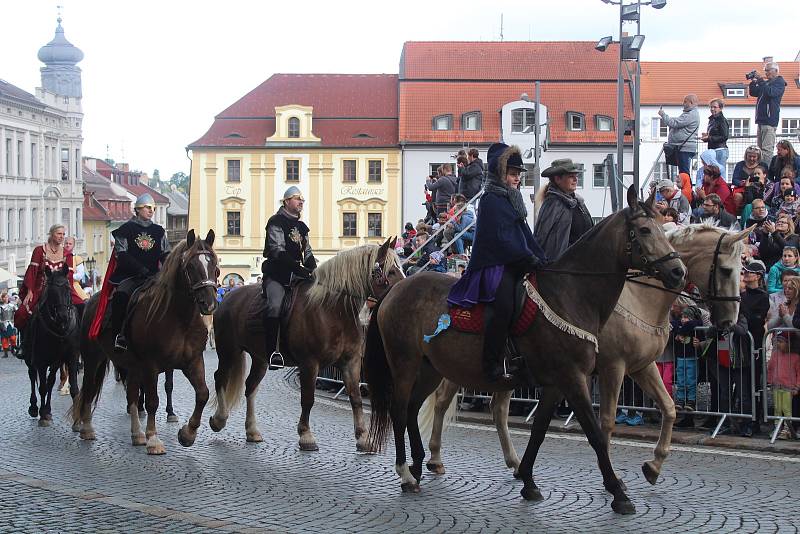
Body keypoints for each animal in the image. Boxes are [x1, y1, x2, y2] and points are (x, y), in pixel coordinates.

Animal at [24, 266, 80, 430]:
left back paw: (48, 410)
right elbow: (41, 387)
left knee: (50, 380)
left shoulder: (71, 357)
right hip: (31, 359)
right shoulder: (41, 361)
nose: (63, 316)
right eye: (51, 291)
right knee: (32, 376)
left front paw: (77, 421)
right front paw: (42, 415)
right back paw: (35, 408)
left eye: (68, 288)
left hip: (56, 362)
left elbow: (74, 388)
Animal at [69, 230, 216, 456]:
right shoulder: (151, 365)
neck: (179, 319)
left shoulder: (193, 362)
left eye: (214, 263)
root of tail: (91, 301)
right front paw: (154, 439)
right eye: (191, 266)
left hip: (132, 366)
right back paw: (87, 428)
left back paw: (137, 434)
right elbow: (153, 401)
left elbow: (202, 394)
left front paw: (187, 434)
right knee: (89, 388)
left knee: (131, 395)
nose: (208, 304)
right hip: (93, 359)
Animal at [209, 239, 404, 452]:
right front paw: (306, 435)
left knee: (250, 387)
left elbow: (356, 398)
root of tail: (227, 297)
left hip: (260, 358)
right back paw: (219, 419)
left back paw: (252, 431)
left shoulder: (351, 362)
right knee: (220, 377)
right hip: (228, 350)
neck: (332, 310)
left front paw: (362, 437)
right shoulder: (310, 363)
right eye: (390, 271)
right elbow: (308, 398)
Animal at [366, 187, 684, 516]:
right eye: (645, 230)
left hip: (431, 368)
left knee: (415, 408)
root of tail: (394, 291)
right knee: (400, 409)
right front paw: (618, 492)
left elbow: (540, 430)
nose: (678, 271)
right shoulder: (576, 377)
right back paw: (405, 472)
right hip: (405, 363)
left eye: (663, 228)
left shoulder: (558, 384)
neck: (569, 294)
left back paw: (417, 465)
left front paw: (528, 481)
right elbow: (595, 432)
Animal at [424, 221, 752, 486]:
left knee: (498, 409)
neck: (639, 299)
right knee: (442, 402)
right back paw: (436, 458)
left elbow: (669, 408)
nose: (729, 322)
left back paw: (515, 464)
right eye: (726, 270)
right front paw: (611, 476)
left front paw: (654, 466)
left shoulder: (642, 367)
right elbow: (605, 420)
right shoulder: (613, 368)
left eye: (742, 271)